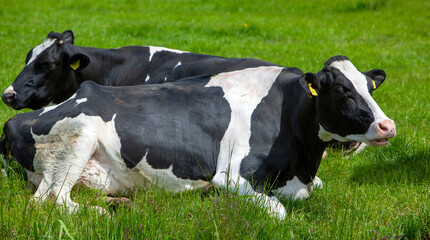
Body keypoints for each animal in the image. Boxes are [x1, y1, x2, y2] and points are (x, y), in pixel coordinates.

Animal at [0, 56, 396, 219]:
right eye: (343, 91)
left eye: (370, 87)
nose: (387, 126)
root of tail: (15, 121)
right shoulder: (232, 176)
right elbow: (280, 212)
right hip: (76, 139)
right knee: (51, 201)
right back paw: (109, 211)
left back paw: (121, 203)